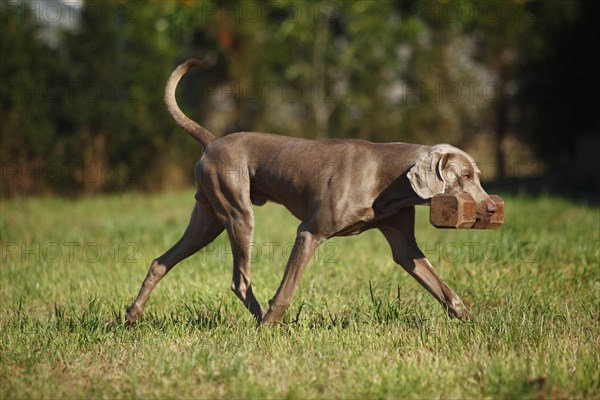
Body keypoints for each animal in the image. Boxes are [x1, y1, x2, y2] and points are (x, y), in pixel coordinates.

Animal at [125, 60, 496, 328]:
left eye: (478, 175)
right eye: (464, 175)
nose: (492, 208)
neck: (388, 179)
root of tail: (212, 140)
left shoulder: (403, 243)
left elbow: (440, 286)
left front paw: (471, 321)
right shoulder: (309, 232)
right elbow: (286, 291)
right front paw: (270, 326)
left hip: (208, 219)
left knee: (161, 262)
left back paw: (132, 315)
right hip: (237, 213)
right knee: (239, 280)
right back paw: (260, 321)